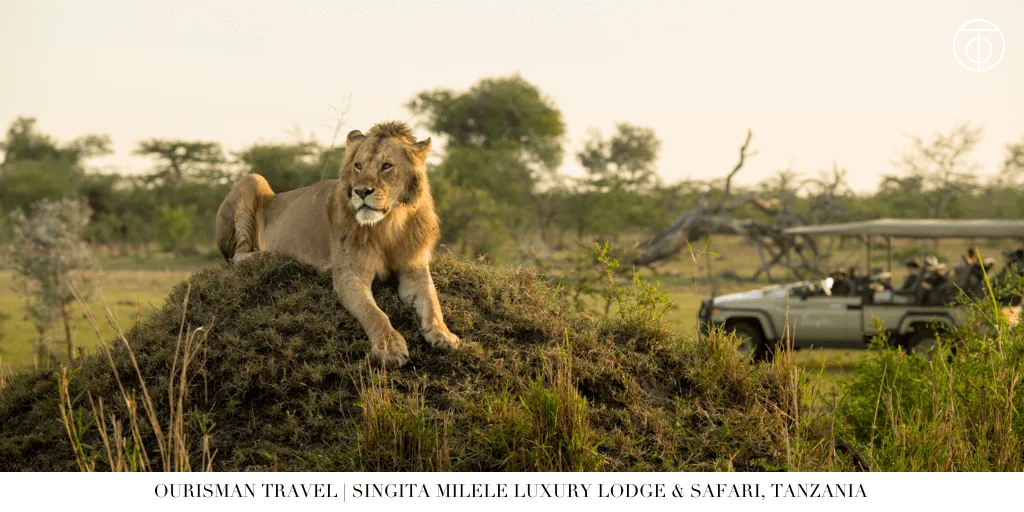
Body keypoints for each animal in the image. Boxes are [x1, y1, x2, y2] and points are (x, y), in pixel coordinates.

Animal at [215, 121, 459, 366]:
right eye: (358, 166)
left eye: (387, 166)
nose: (361, 191)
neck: (388, 225)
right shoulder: (349, 275)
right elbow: (373, 313)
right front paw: (390, 347)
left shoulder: (414, 270)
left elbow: (432, 301)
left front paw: (444, 334)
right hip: (252, 179)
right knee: (239, 256)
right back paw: (277, 257)